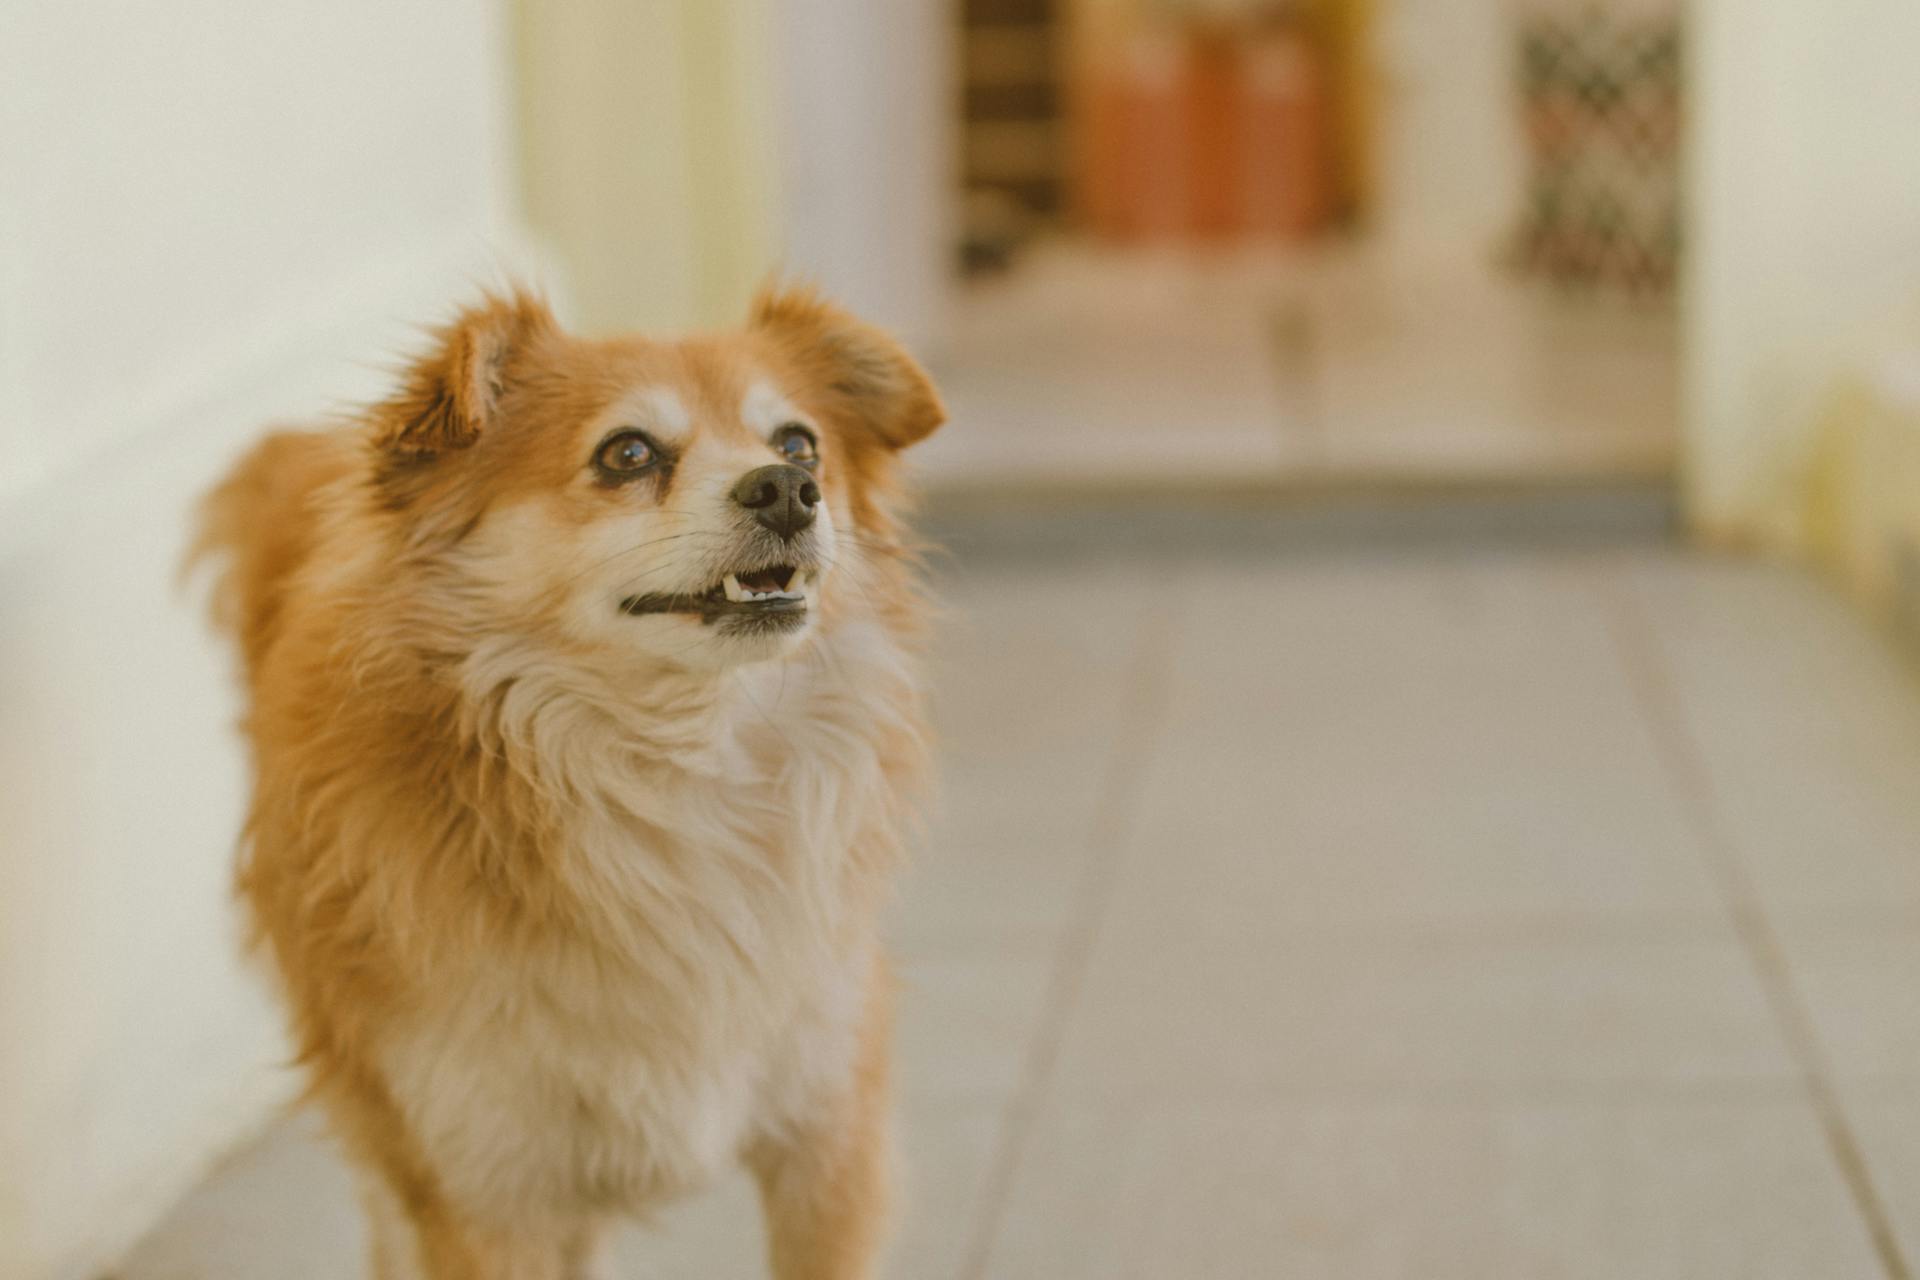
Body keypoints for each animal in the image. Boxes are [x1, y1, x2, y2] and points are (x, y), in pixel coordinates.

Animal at [194, 289, 944, 1280]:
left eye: (798, 444)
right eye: (627, 454)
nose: (785, 489)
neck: (672, 771)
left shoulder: (828, 1137)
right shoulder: (482, 1186)